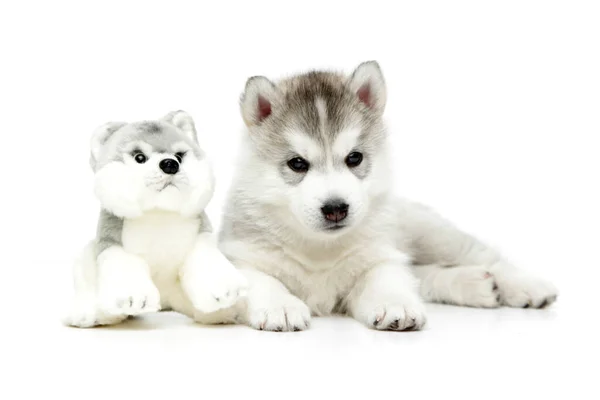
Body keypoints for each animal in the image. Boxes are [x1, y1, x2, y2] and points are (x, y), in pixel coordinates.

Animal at [67, 110, 248, 328]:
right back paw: (93, 314)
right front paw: (133, 300)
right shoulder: (112, 240)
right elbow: (123, 265)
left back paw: (219, 314)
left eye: (179, 156)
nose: (170, 164)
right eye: (139, 157)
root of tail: (166, 303)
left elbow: (205, 258)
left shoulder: (200, 236)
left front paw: (223, 291)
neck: (159, 212)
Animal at [218, 61, 560, 332]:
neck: (321, 250)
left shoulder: (380, 256)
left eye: (354, 158)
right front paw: (281, 306)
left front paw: (395, 304)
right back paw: (477, 285)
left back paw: (527, 286)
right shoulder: (240, 258)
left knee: (483, 256)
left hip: (430, 234)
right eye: (297, 164)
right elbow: (262, 281)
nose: (336, 208)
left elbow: (386, 279)